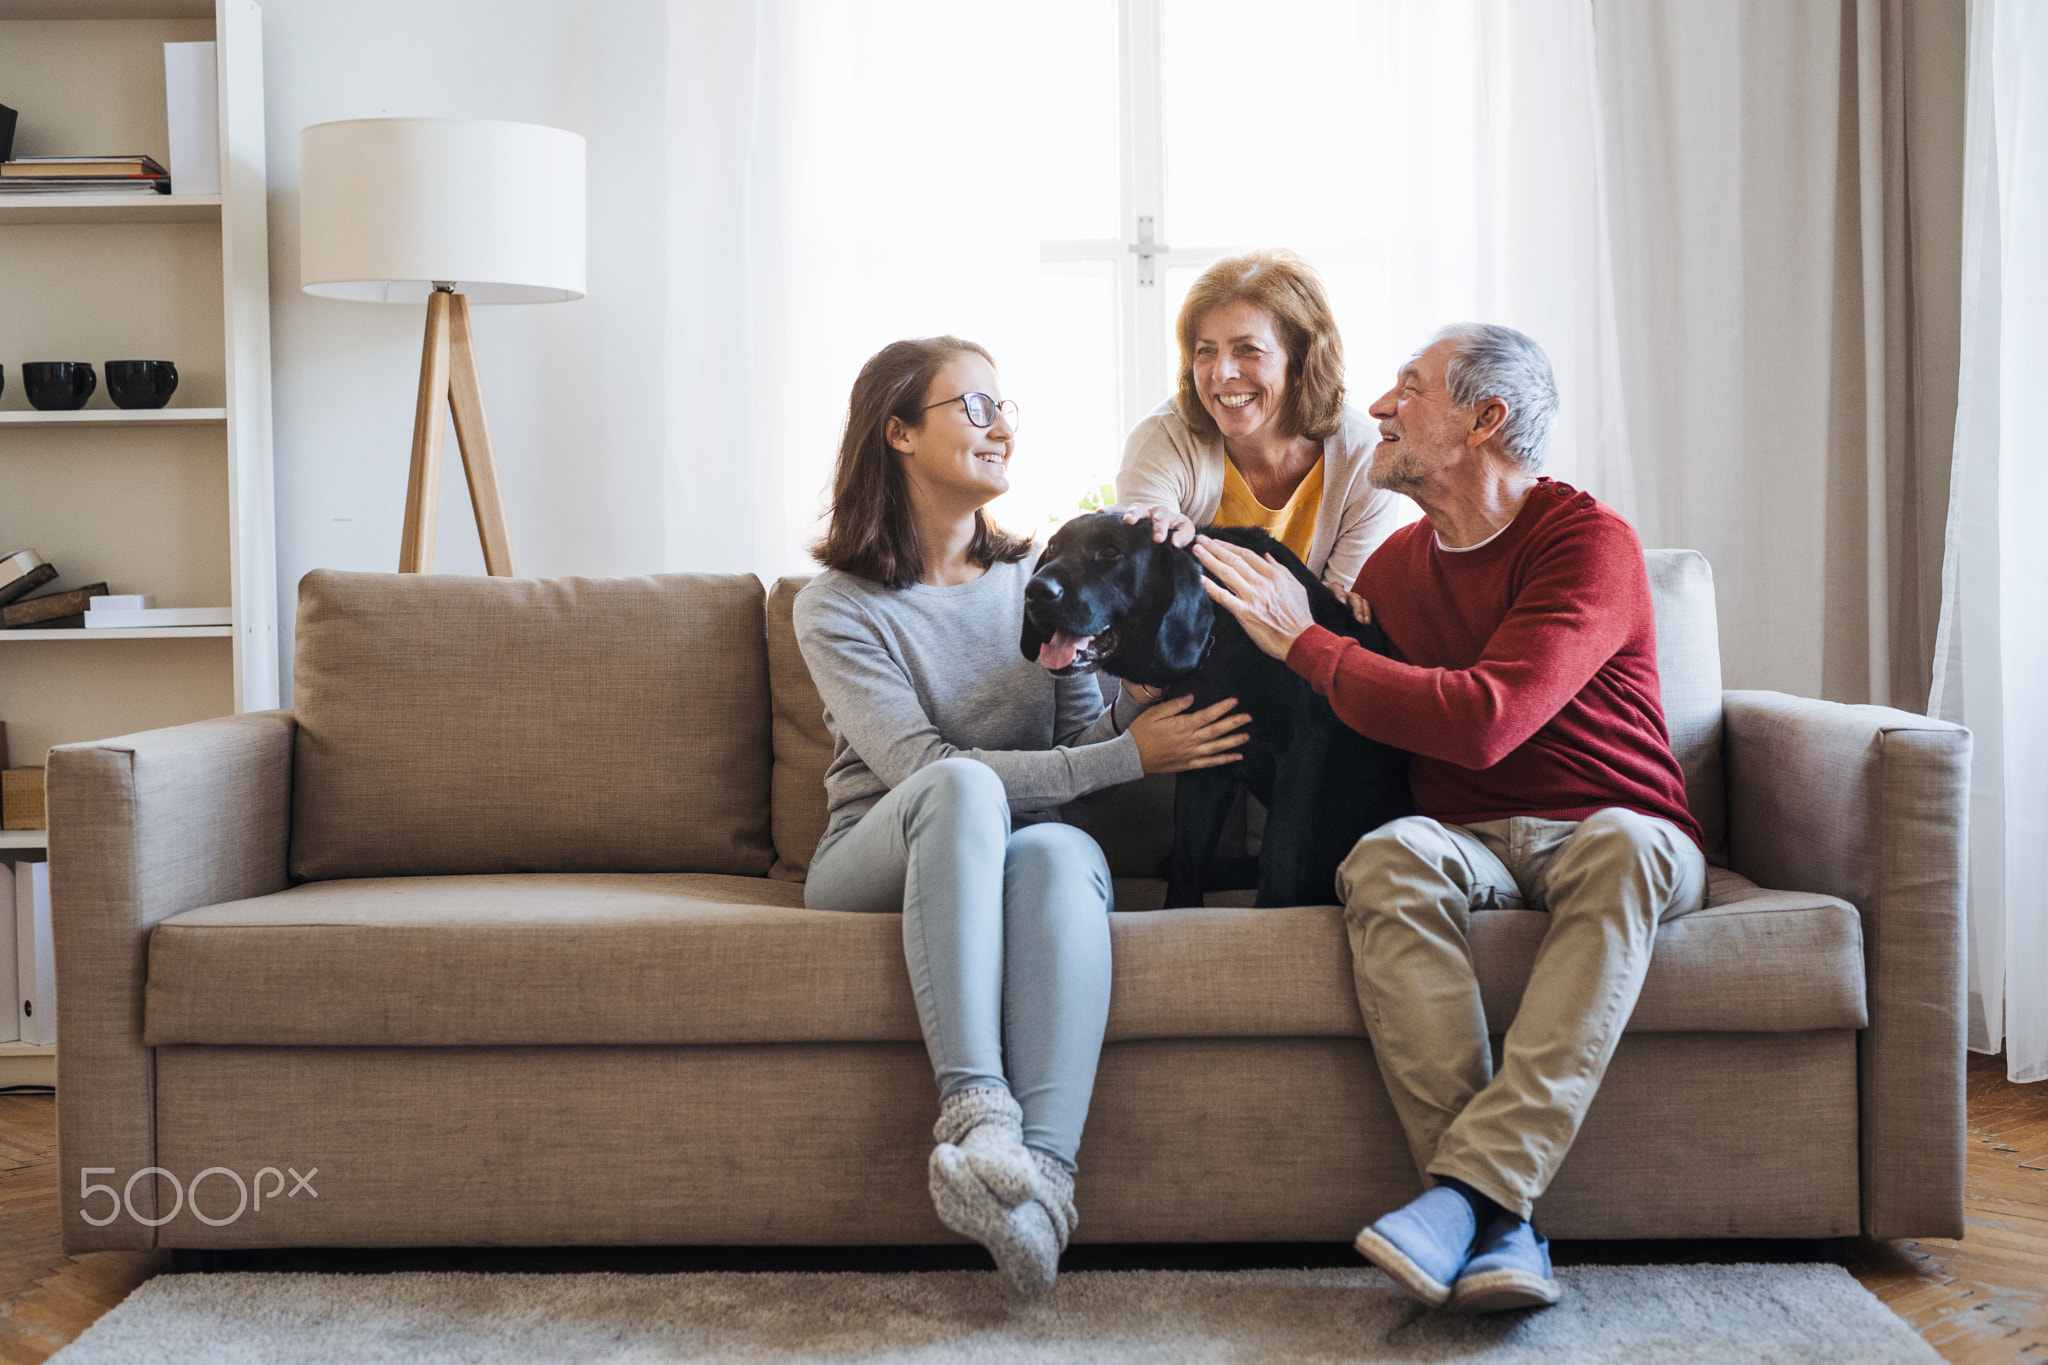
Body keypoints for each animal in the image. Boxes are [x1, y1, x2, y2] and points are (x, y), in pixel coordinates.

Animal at [1019, 511, 1409, 908]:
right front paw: (1179, 909)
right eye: (1053, 548)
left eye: (1111, 552)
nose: (1035, 591)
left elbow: (1278, 851)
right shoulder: (1205, 761)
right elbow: (1187, 855)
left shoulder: (1300, 750)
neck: (1221, 634)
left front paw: (1270, 909)